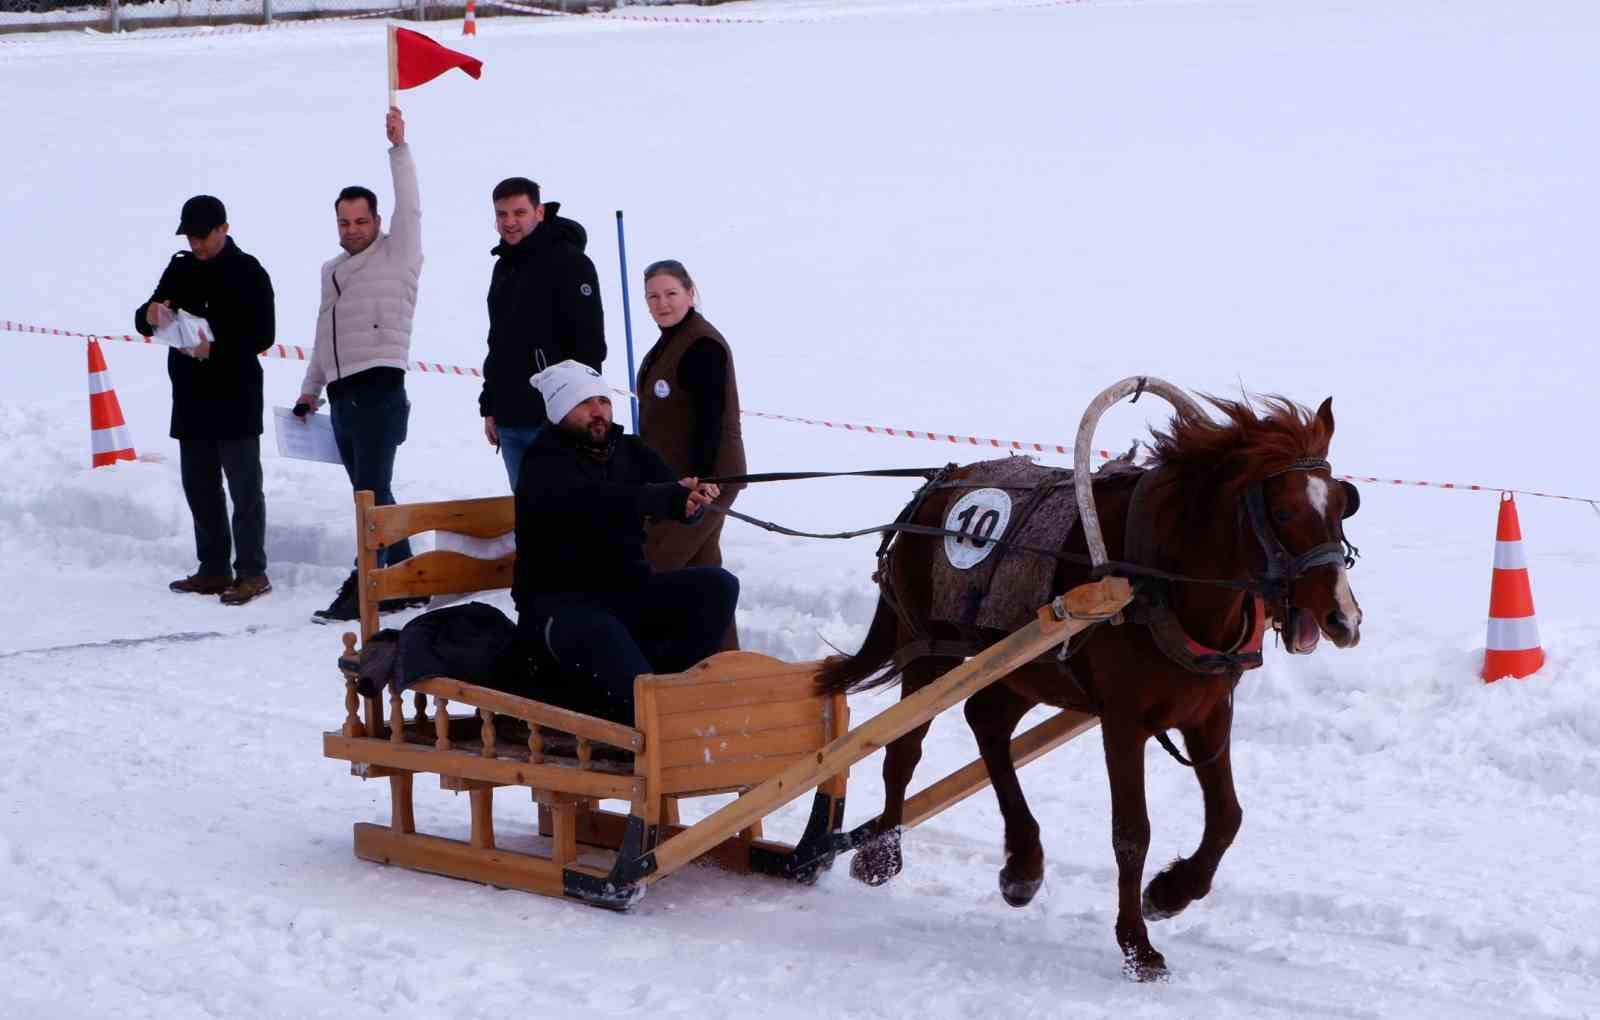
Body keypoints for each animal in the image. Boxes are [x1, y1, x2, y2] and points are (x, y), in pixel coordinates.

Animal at [825, 393, 1363, 984]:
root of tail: (933, 489)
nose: (1343, 618)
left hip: (1027, 666)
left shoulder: (1207, 712)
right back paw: (882, 855)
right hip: (931, 652)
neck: (1158, 578)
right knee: (903, 751)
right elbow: (1132, 832)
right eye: (1284, 512)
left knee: (986, 720)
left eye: (1345, 504)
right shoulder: (1123, 721)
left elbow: (1227, 816)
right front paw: (1137, 946)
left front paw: (1171, 892)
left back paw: (1023, 864)